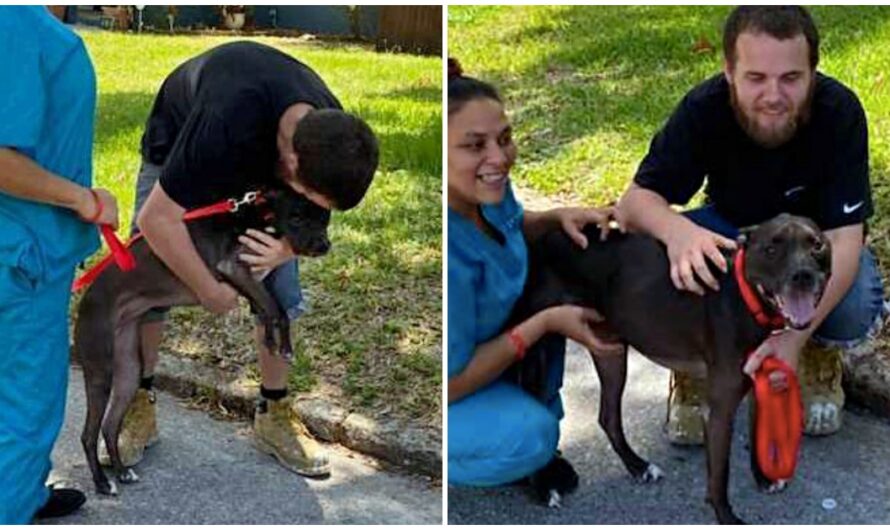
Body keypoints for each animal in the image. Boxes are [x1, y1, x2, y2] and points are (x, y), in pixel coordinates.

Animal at [75, 188, 330, 492]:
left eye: (325, 218)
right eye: (297, 217)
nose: (324, 245)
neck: (261, 216)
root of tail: (84, 300)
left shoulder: (254, 277)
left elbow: (272, 310)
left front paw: (274, 341)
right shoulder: (234, 268)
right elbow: (276, 309)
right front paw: (285, 346)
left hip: (128, 369)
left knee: (110, 425)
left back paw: (122, 472)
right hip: (100, 370)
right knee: (89, 434)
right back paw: (102, 483)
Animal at [512, 212, 832, 520]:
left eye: (817, 245)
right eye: (772, 248)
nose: (802, 276)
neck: (746, 298)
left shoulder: (756, 380)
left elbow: (756, 435)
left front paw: (764, 479)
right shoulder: (719, 408)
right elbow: (720, 474)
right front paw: (727, 517)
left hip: (610, 350)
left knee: (608, 417)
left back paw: (638, 466)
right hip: (539, 347)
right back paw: (545, 488)